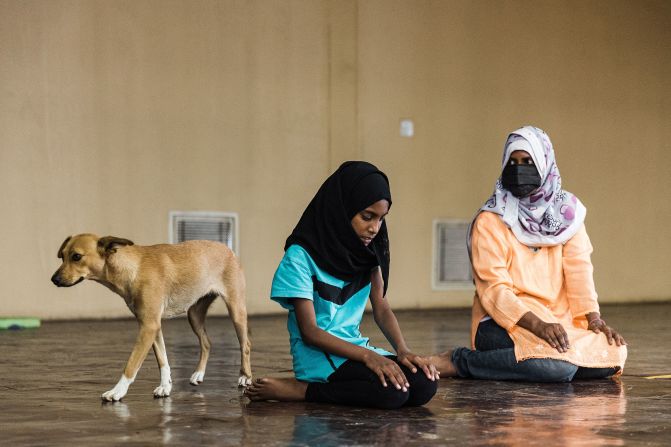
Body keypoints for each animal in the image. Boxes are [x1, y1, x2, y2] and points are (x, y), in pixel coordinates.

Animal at [51, 234, 253, 402]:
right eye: (62, 256)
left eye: (76, 256)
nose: (54, 279)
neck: (132, 268)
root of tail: (228, 249)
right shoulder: (152, 326)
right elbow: (163, 360)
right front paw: (165, 386)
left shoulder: (148, 327)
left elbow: (131, 364)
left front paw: (118, 391)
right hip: (194, 315)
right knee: (206, 342)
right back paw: (199, 374)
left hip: (236, 311)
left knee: (245, 344)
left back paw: (245, 376)